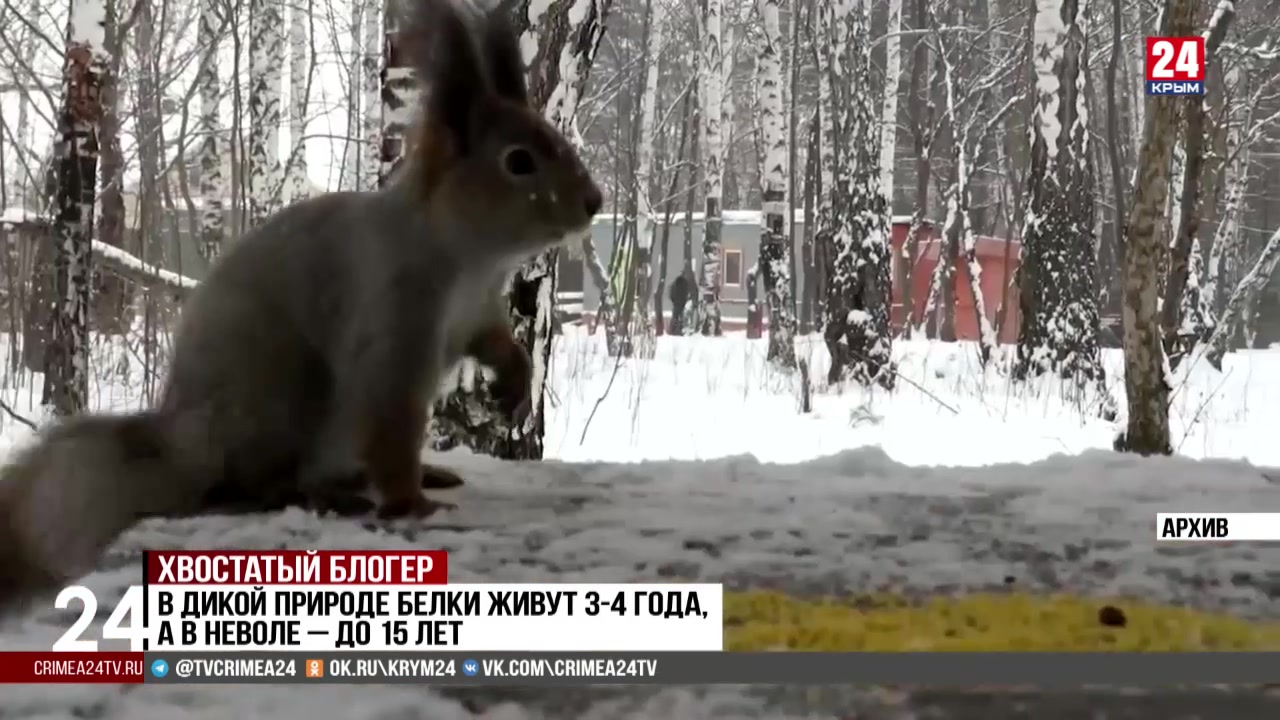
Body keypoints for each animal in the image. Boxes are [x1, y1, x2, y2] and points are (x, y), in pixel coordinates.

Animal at [0, 0, 604, 614]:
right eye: (518, 161)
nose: (594, 202)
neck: (468, 259)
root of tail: (185, 446)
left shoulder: (476, 311)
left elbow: (497, 342)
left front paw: (514, 382)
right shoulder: (392, 321)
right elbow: (391, 417)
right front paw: (410, 503)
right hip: (285, 397)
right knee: (251, 487)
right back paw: (327, 495)